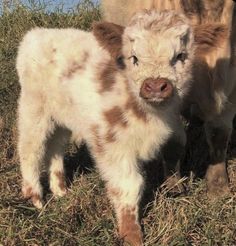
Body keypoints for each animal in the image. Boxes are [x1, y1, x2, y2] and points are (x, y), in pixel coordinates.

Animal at [16, 10, 194, 245]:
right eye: (134, 58)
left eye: (180, 56)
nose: (155, 86)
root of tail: (37, 33)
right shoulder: (112, 144)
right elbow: (129, 185)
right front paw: (132, 235)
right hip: (34, 108)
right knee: (30, 148)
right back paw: (36, 198)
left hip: (62, 115)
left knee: (56, 147)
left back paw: (60, 190)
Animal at [102, 0, 236, 198]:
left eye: (180, 55)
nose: (155, 85)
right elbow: (174, 142)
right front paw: (173, 185)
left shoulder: (229, 86)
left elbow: (218, 135)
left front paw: (218, 187)